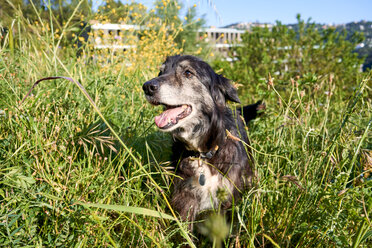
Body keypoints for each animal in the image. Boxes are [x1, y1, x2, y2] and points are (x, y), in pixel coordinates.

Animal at [142, 55, 262, 230]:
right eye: (161, 72)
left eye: (188, 73)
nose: (147, 87)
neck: (204, 152)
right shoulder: (184, 198)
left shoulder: (228, 201)